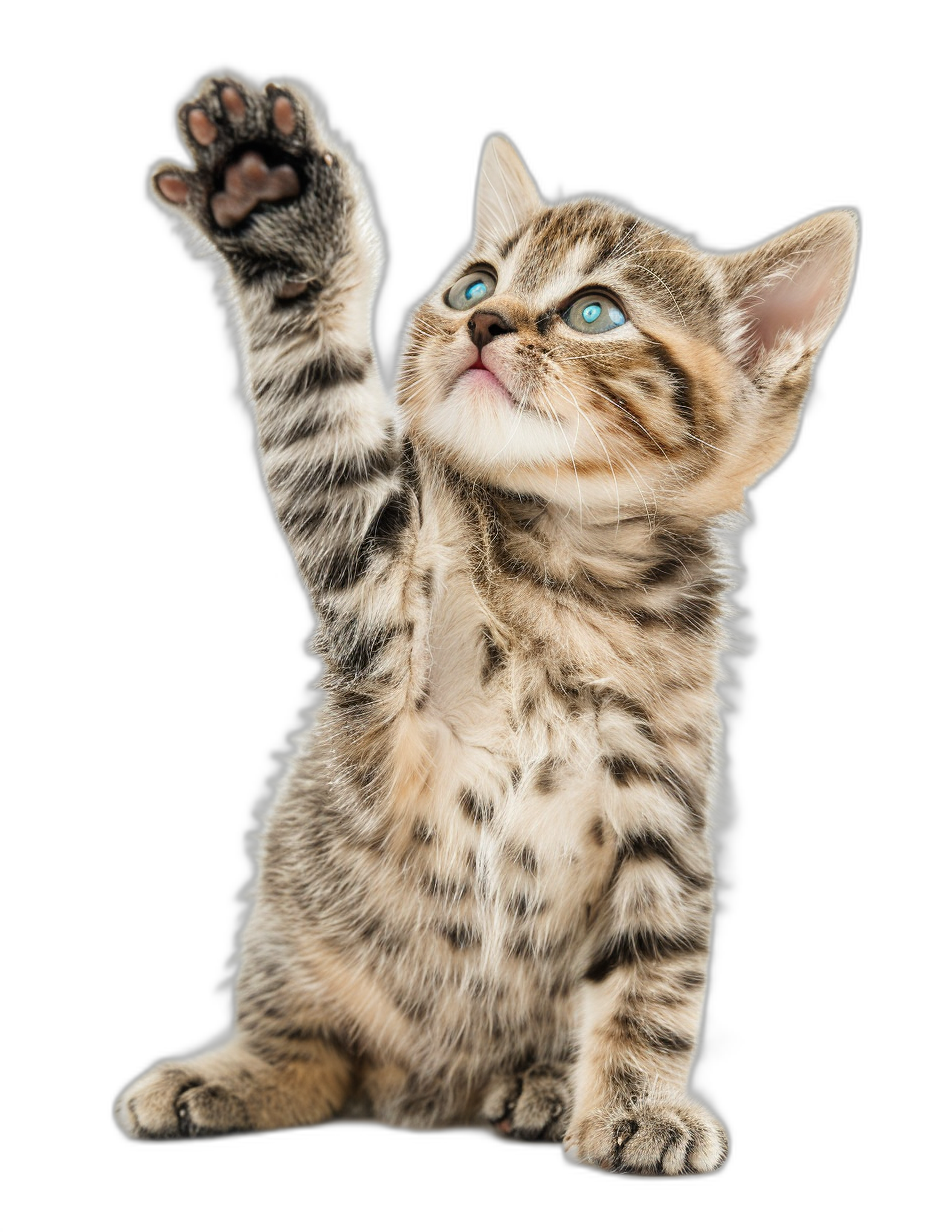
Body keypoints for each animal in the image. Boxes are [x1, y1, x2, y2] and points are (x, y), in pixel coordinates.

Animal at [112, 74, 857, 1172]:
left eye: (593, 311)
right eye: (473, 285)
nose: (486, 323)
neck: (570, 572)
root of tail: (424, 1094)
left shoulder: (665, 806)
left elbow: (658, 975)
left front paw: (640, 1103)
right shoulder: (377, 592)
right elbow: (322, 419)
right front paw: (275, 208)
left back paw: (542, 1084)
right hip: (298, 949)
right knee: (307, 1055)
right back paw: (228, 1076)